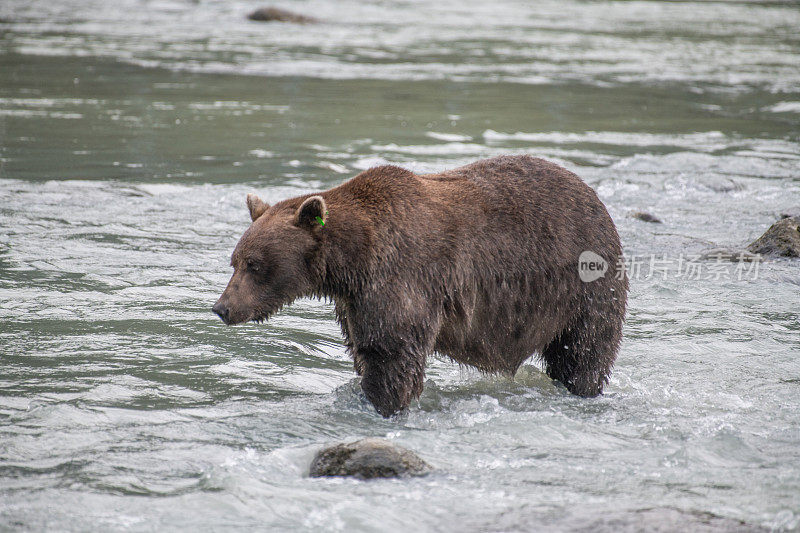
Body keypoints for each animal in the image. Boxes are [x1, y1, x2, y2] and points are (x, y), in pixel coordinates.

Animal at [216, 154, 628, 416]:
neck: (352, 259)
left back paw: (581, 387)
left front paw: (384, 403)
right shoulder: (355, 301)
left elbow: (392, 353)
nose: (222, 308)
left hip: (582, 286)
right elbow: (365, 349)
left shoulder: (400, 277)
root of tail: (594, 196)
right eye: (234, 261)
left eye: (254, 264)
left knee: (583, 351)